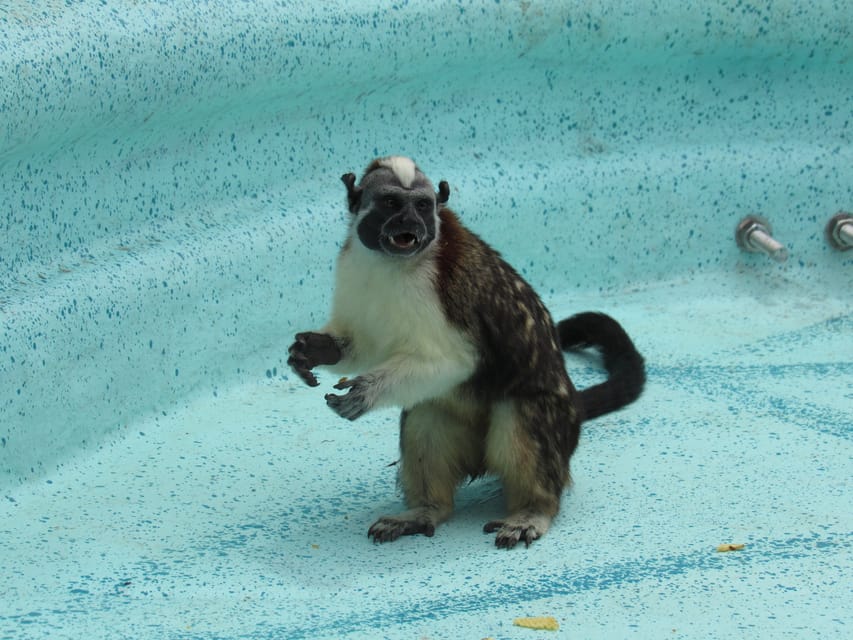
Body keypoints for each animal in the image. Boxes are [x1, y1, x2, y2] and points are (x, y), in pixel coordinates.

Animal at [288, 158, 644, 548]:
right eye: (392, 204)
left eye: (422, 206)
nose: (409, 225)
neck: (391, 264)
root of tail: (573, 413)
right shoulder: (354, 264)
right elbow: (365, 343)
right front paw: (316, 350)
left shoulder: (434, 287)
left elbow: (457, 361)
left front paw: (366, 392)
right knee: (425, 413)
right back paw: (428, 510)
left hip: (553, 425)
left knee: (522, 413)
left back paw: (534, 509)